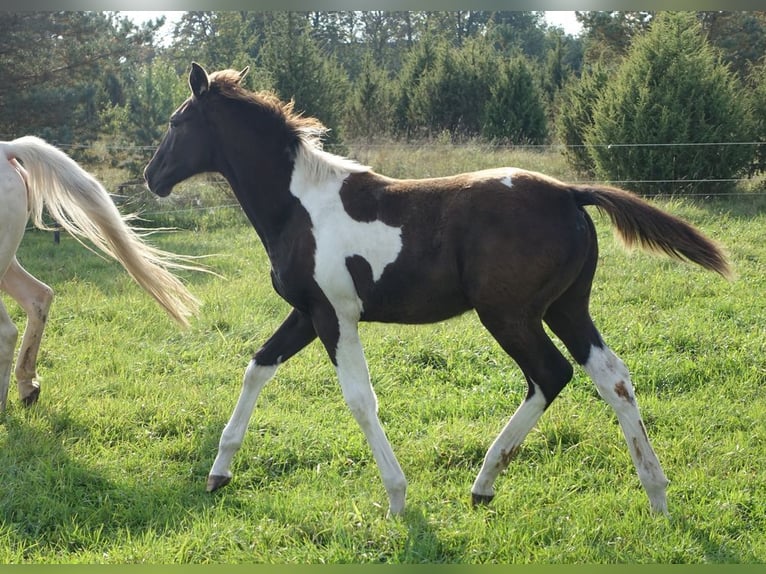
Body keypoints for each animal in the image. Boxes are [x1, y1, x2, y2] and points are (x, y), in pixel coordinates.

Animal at [146, 63, 732, 516]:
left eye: (176, 121)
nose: (152, 177)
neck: (300, 205)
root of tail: (569, 192)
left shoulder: (334, 315)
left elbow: (360, 399)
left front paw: (397, 498)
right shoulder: (307, 313)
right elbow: (257, 366)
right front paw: (219, 472)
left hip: (509, 314)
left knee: (550, 374)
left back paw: (485, 482)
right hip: (566, 308)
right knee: (613, 378)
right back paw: (655, 493)